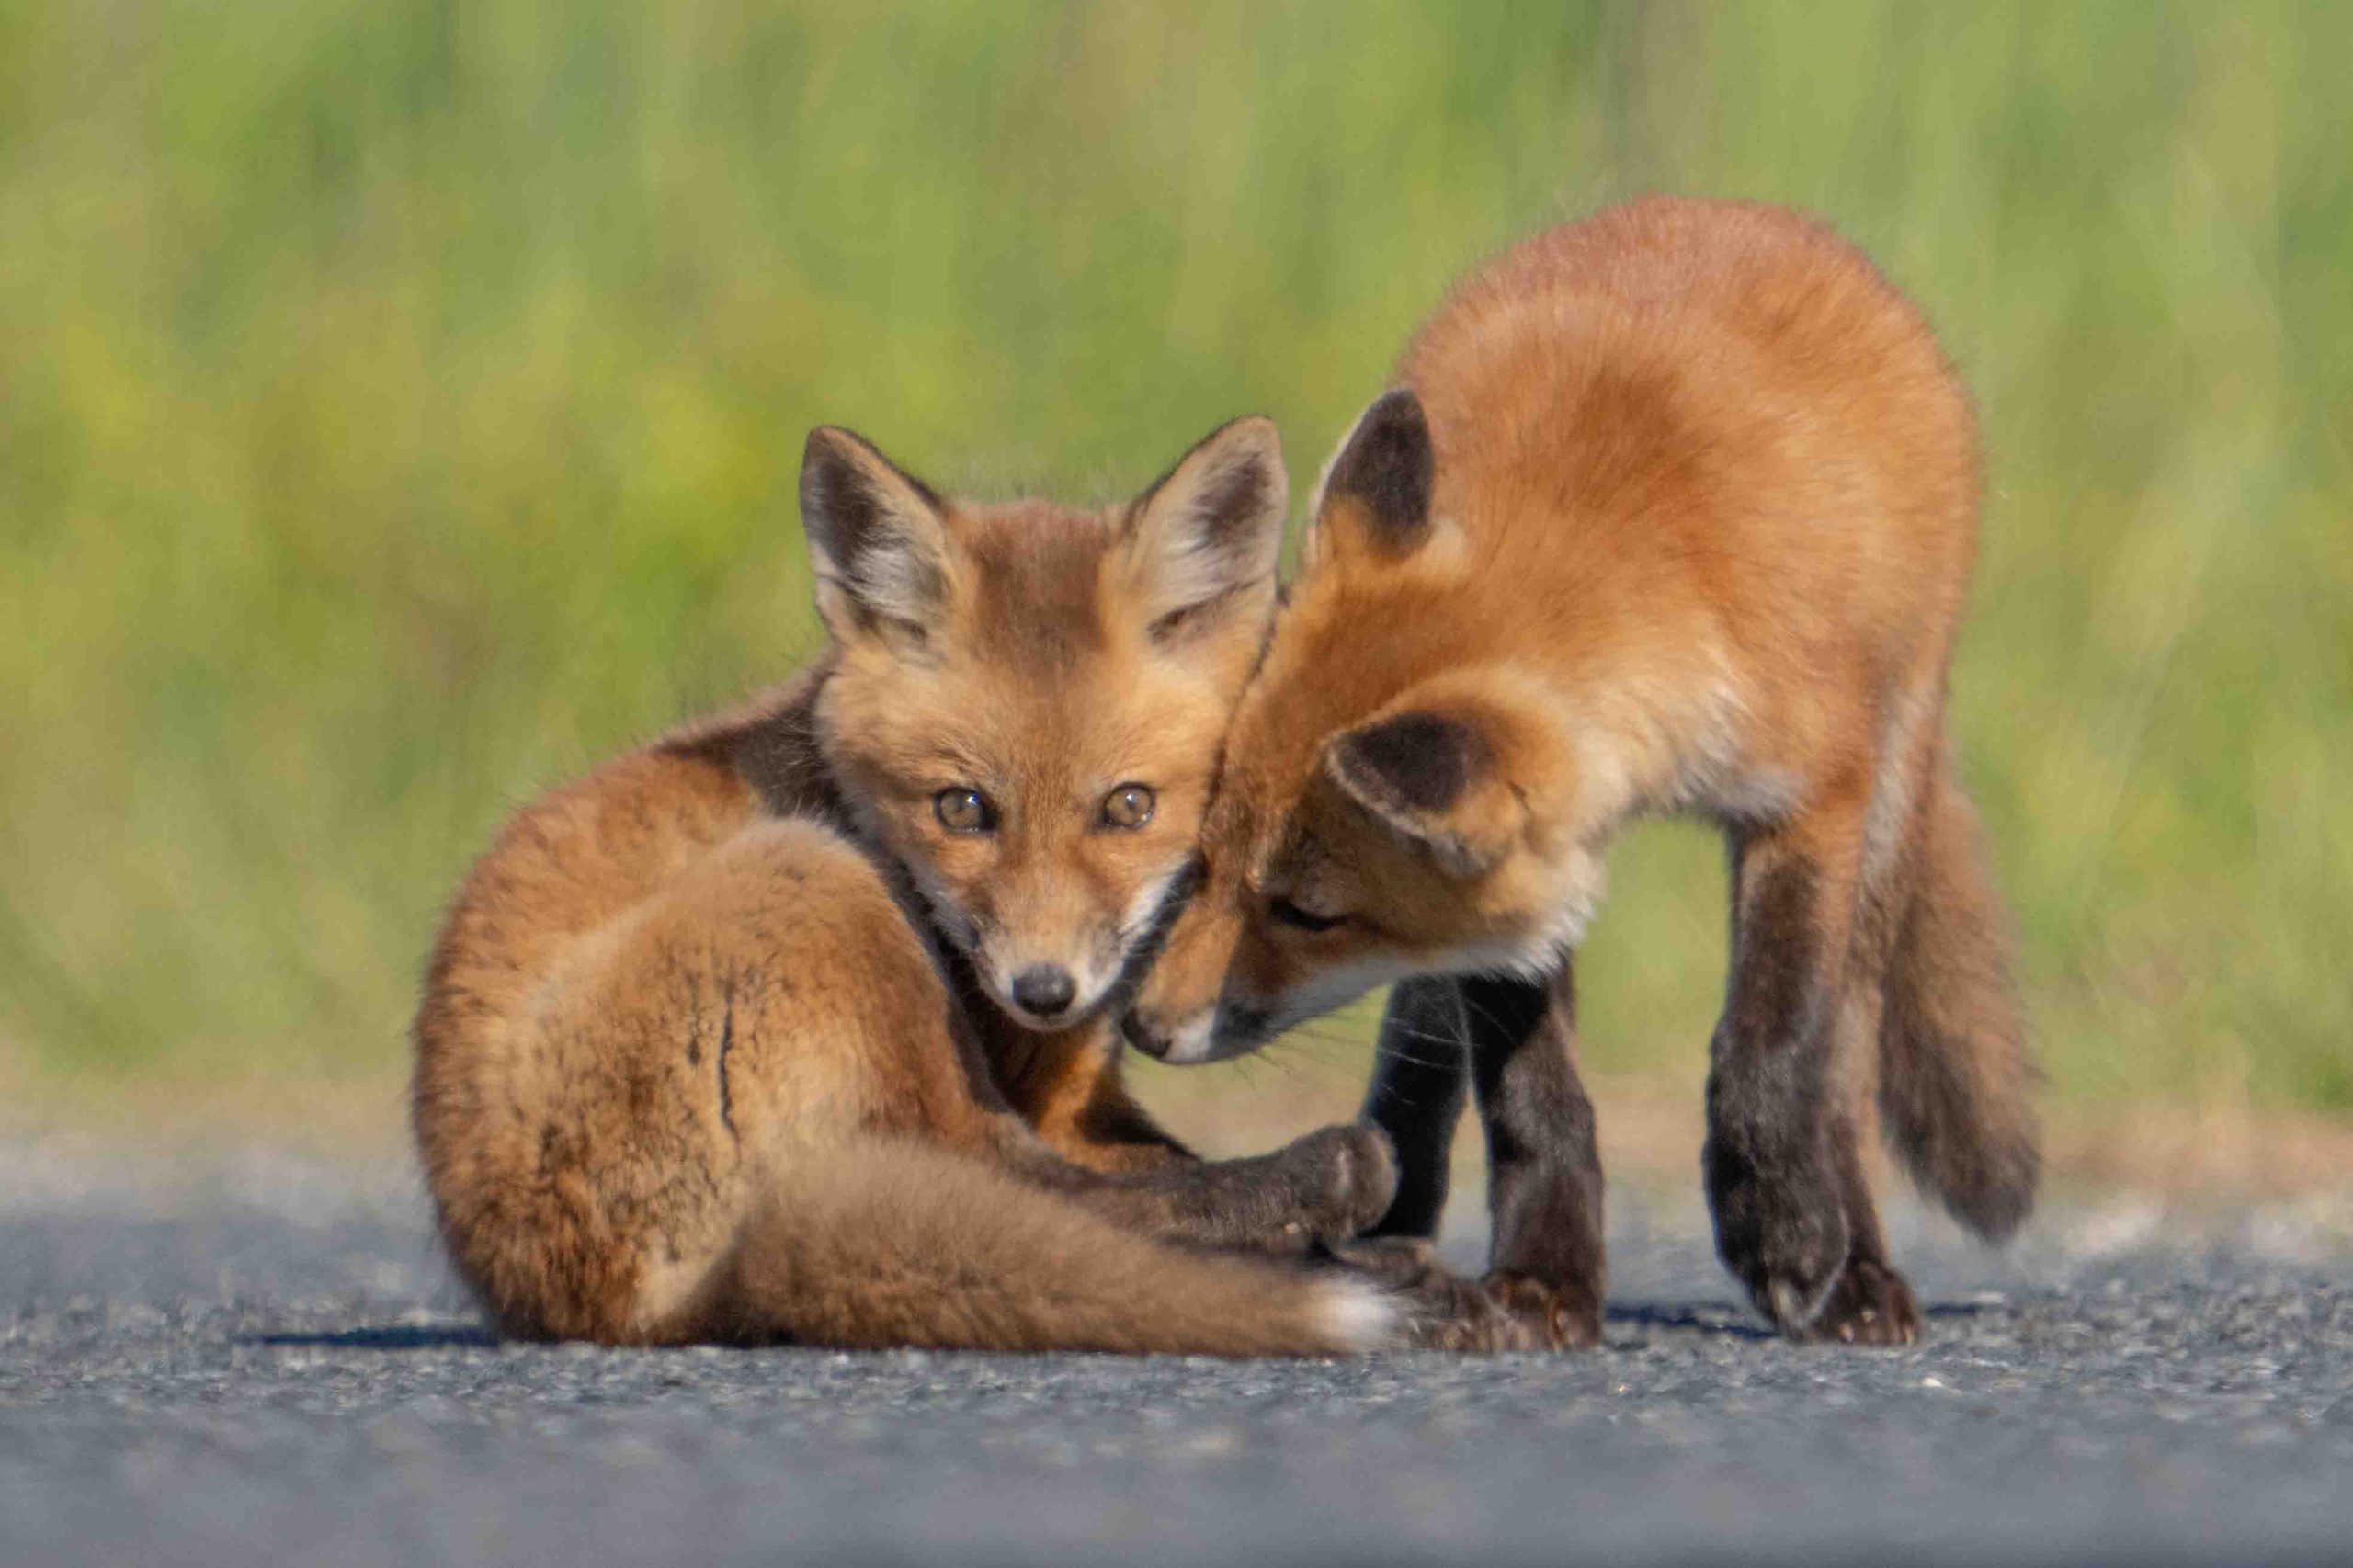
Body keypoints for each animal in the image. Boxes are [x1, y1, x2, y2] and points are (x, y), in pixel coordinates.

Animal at [410, 414, 1441, 1356]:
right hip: (820, 885)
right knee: (1026, 1188)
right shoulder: (1026, 1080)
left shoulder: (1074, 1091)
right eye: (963, 808)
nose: (1043, 991)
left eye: (1128, 806)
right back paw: (1331, 1209)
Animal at [1123, 197, 2040, 1346]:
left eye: (1306, 911)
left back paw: (1856, 1263)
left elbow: (1771, 1045)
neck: (1671, 553)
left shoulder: (1808, 802)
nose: (1143, 1025)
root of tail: (1738, 211)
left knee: (1839, 1056)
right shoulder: (1514, 883)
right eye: (1200, 862)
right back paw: (1389, 1219)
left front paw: (1779, 1232)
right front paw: (1544, 1278)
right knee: (1418, 1046)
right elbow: (1530, 1093)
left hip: (1887, 797)